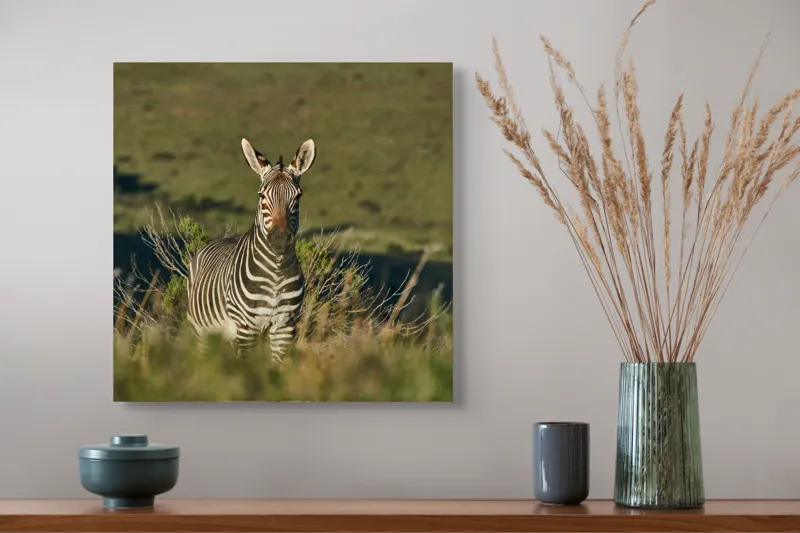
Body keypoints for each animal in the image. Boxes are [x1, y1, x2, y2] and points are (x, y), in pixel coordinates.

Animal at [186, 137, 316, 363]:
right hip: (202, 331)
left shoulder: (284, 327)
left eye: (298, 196)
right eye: (262, 195)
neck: (276, 272)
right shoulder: (247, 327)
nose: (279, 240)